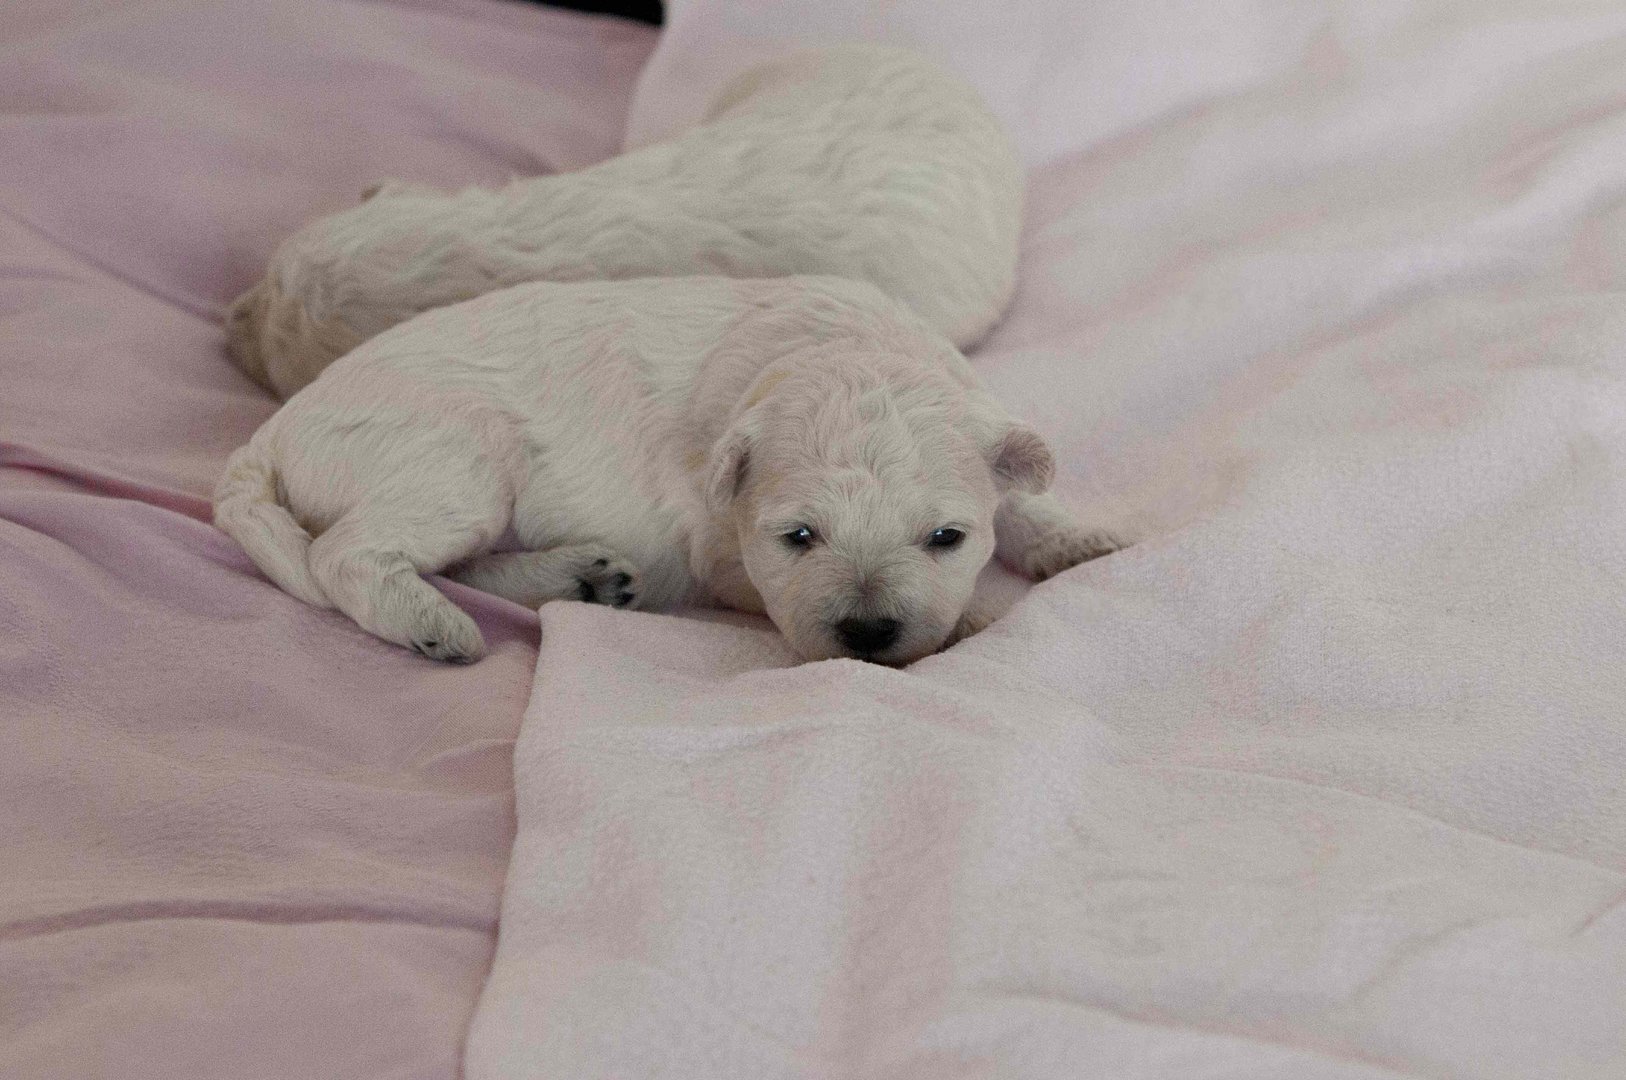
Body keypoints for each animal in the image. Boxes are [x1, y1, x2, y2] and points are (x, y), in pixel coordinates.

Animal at [213, 276, 1118, 666]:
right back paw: (433, 626)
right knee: (347, 555)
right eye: (798, 537)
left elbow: (1019, 494)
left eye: (946, 537)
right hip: (454, 462)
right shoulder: (721, 550)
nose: (866, 634)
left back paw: (583, 578)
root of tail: (270, 435)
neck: (834, 348)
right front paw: (970, 624)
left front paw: (1079, 540)